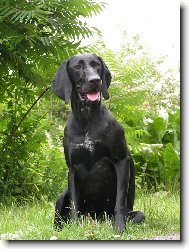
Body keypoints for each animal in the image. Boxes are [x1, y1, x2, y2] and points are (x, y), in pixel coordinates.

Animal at [52, 53, 144, 233]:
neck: (87, 121)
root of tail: (96, 219)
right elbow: (74, 205)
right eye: (78, 67)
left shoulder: (121, 160)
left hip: (134, 214)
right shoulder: (73, 169)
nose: (95, 80)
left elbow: (120, 201)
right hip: (61, 197)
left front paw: (119, 227)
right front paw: (75, 230)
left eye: (97, 65)